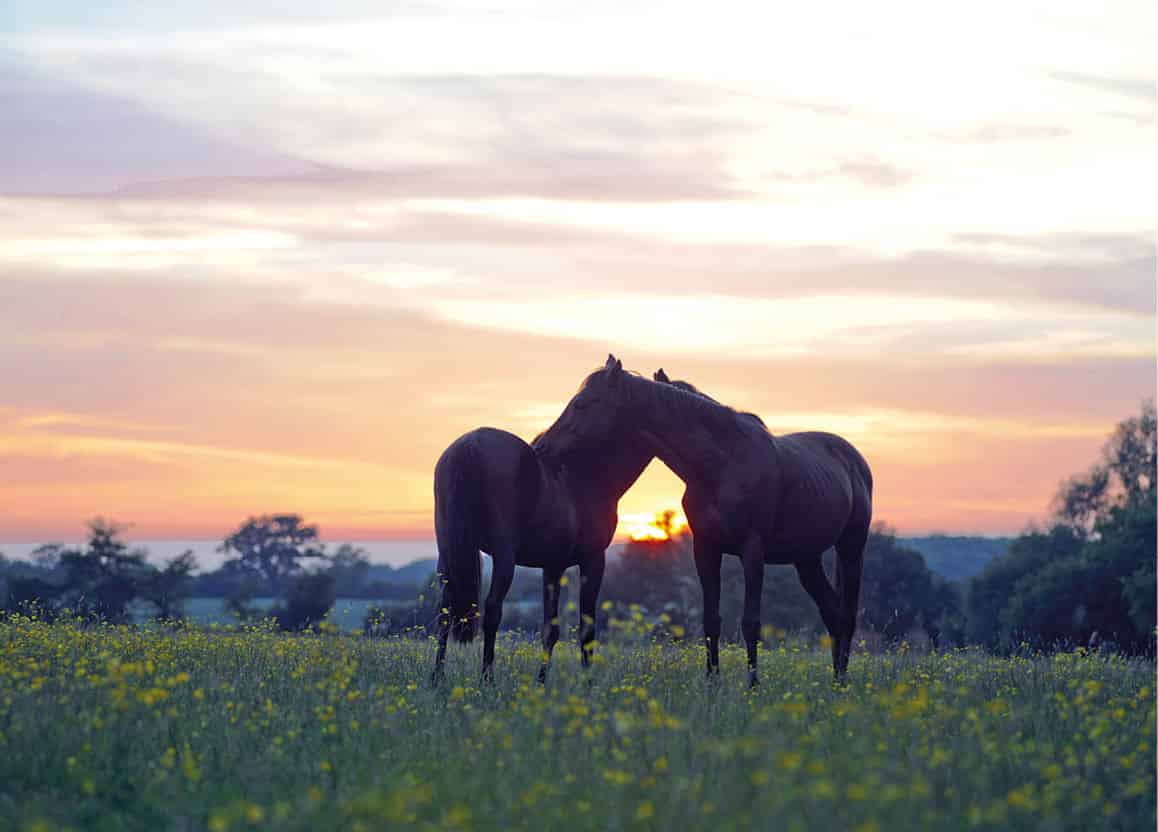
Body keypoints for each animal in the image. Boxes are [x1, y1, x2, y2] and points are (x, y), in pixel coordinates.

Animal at [435, 354, 657, 681]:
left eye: (581, 403)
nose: (542, 445)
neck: (583, 476)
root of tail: (470, 444)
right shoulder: (593, 561)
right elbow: (587, 629)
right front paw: (587, 685)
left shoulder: (552, 566)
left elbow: (549, 630)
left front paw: (542, 683)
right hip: (504, 556)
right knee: (492, 611)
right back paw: (486, 680)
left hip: (448, 552)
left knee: (444, 612)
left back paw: (436, 678)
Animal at [539, 363, 870, 685]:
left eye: (582, 403)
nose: (542, 446)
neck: (722, 465)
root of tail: (854, 459)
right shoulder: (706, 548)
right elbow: (711, 619)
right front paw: (712, 682)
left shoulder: (753, 550)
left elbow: (751, 623)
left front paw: (752, 686)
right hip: (806, 559)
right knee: (833, 614)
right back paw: (836, 680)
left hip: (851, 550)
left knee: (847, 616)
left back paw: (842, 683)